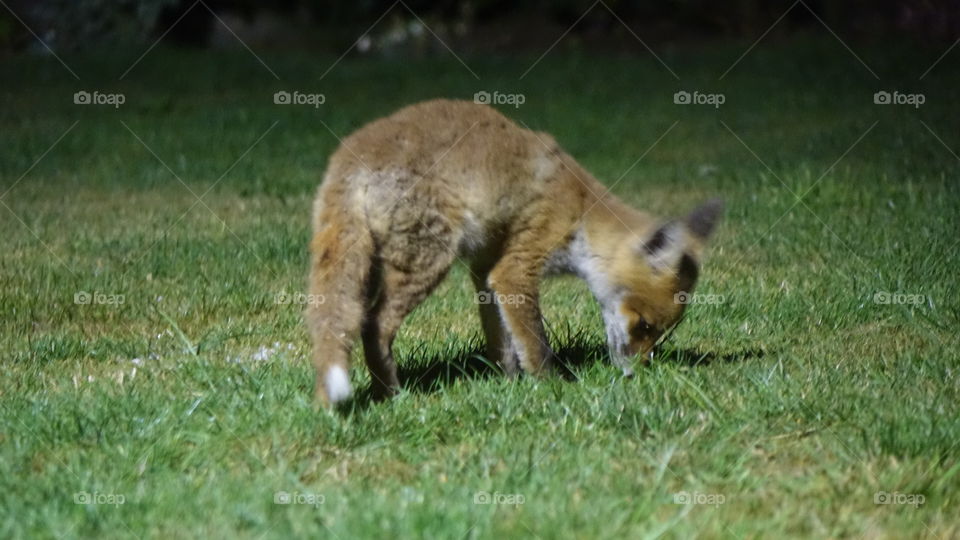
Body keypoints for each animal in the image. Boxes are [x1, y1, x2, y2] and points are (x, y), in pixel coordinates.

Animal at [307, 99, 722, 406]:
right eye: (645, 325)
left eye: (659, 333)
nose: (636, 373)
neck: (581, 208)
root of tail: (350, 155)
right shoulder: (517, 266)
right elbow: (535, 343)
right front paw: (552, 387)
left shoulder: (485, 267)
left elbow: (502, 340)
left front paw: (507, 384)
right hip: (427, 260)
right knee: (374, 324)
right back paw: (392, 395)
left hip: (371, 262)